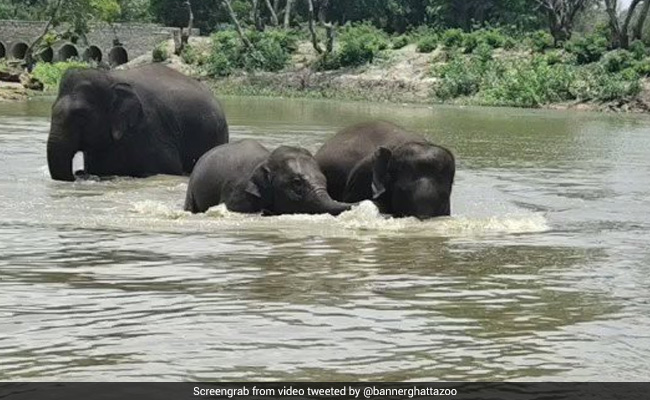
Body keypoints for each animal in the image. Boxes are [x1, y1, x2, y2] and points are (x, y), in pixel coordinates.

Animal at [47, 64, 229, 181]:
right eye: (52, 109)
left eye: (82, 115)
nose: (77, 173)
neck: (110, 78)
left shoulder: (150, 127)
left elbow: (168, 168)